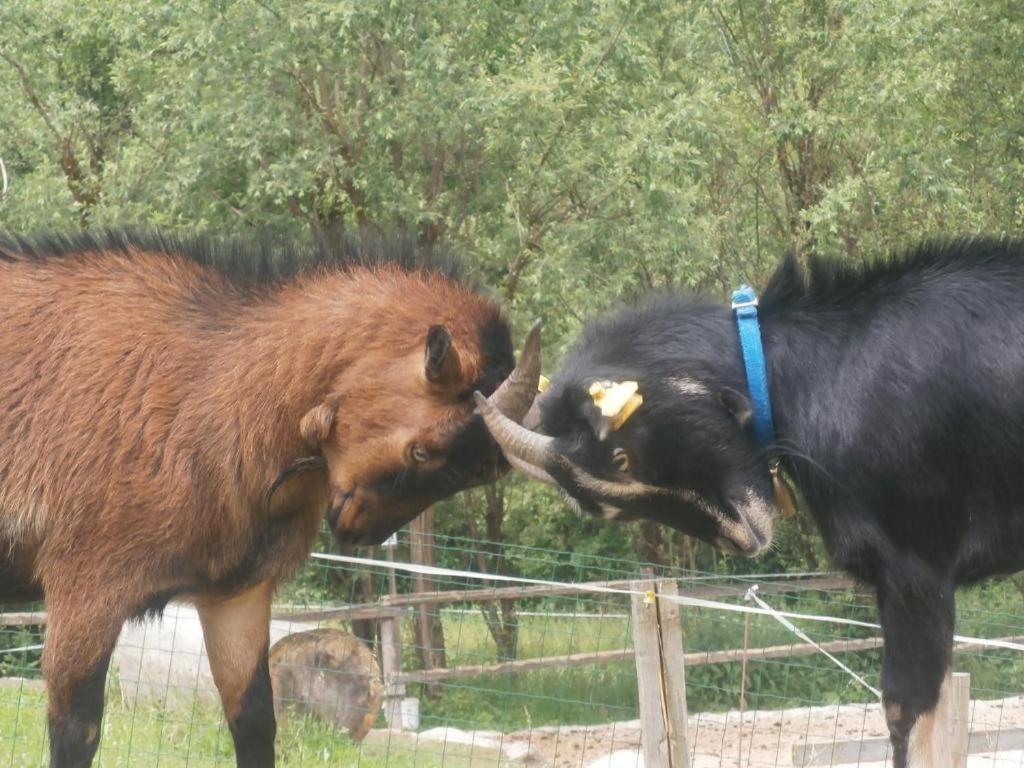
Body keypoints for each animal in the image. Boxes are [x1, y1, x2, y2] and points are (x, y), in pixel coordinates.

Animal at [0, 231, 544, 765]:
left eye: (480, 474)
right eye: (422, 450)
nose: (359, 529)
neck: (216, 389)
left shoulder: (235, 592)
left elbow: (256, 722)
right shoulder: (84, 585)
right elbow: (77, 732)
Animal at [475, 240, 1024, 768]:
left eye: (620, 457)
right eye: (604, 508)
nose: (742, 536)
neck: (818, 370)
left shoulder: (916, 567)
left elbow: (904, 714)